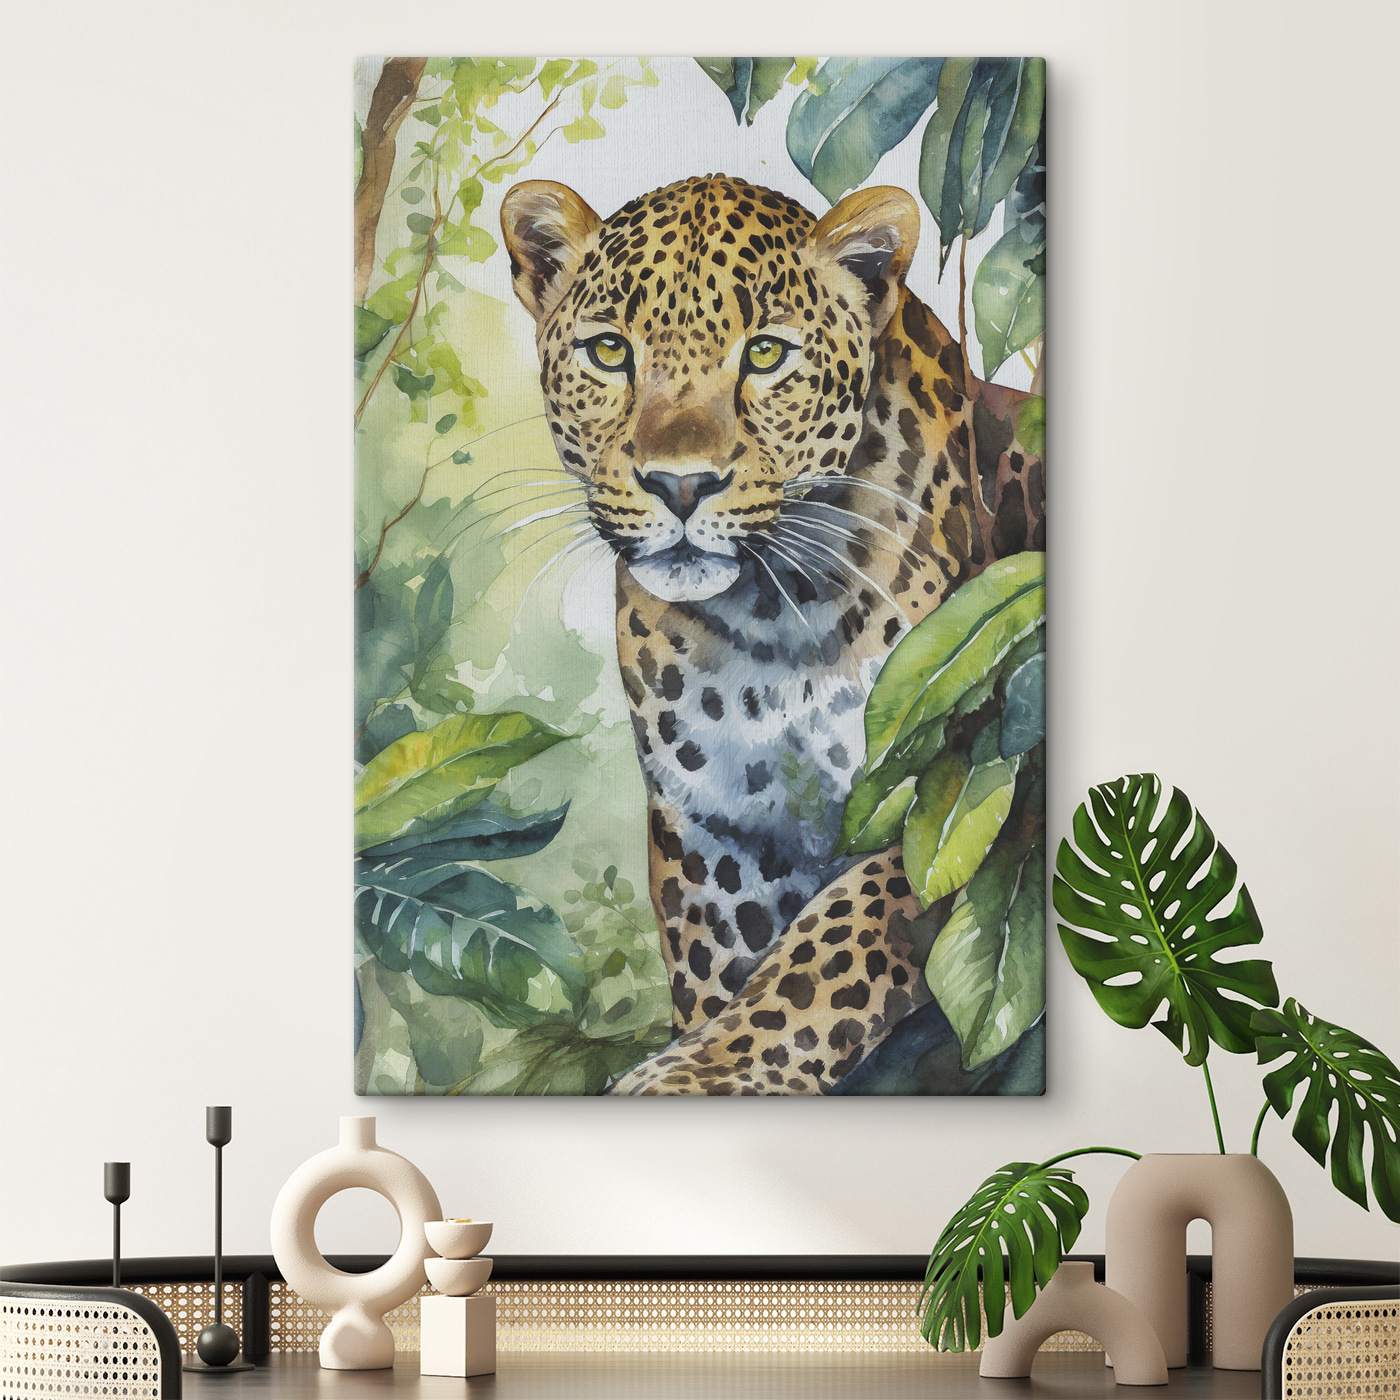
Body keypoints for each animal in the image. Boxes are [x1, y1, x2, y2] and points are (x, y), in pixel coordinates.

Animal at [499, 174, 1043, 1094]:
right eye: (609, 352)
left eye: (764, 355)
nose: (681, 486)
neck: (771, 620)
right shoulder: (716, 824)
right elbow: (724, 965)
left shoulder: (946, 789)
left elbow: (824, 957)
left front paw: (691, 1074)